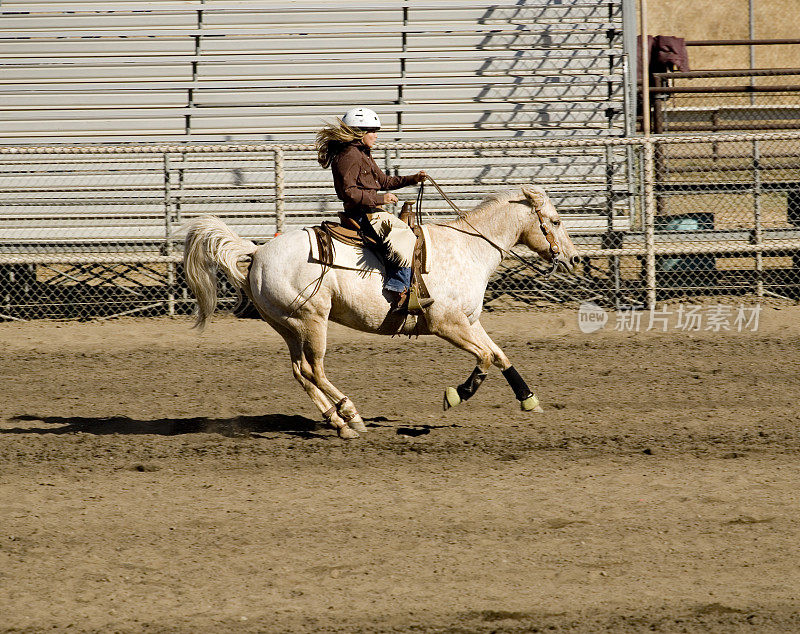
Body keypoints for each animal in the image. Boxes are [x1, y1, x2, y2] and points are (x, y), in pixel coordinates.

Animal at [184, 185, 580, 436]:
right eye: (556, 221)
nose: (575, 258)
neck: (468, 247)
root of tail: (258, 252)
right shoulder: (446, 324)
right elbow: (484, 357)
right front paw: (456, 395)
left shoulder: (469, 321)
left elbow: (499, 356)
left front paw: (529, 400)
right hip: (312, 322)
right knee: (315, 369)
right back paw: (350, 415)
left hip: (288, 326)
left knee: (301, 372)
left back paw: (339, 421)